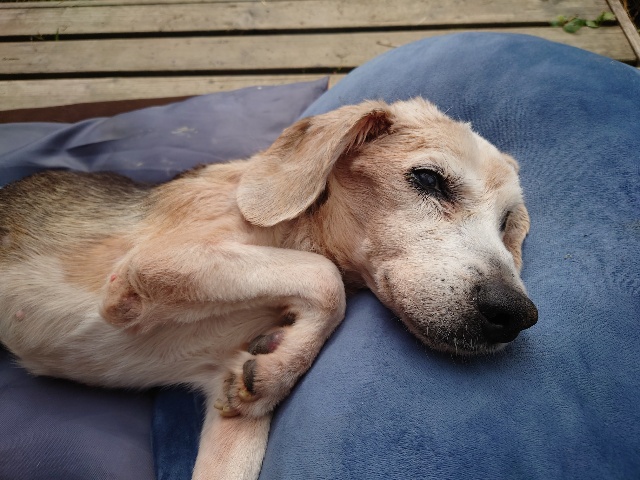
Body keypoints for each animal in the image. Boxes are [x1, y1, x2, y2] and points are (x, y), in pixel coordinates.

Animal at [0, 98, 537, 479]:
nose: (517, 314)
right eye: (427, 178)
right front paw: (283, 364)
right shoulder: (157, 260)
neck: (293, 230)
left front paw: (277, 366)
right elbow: (324, 278)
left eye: (507, 223)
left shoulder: (228, 406)